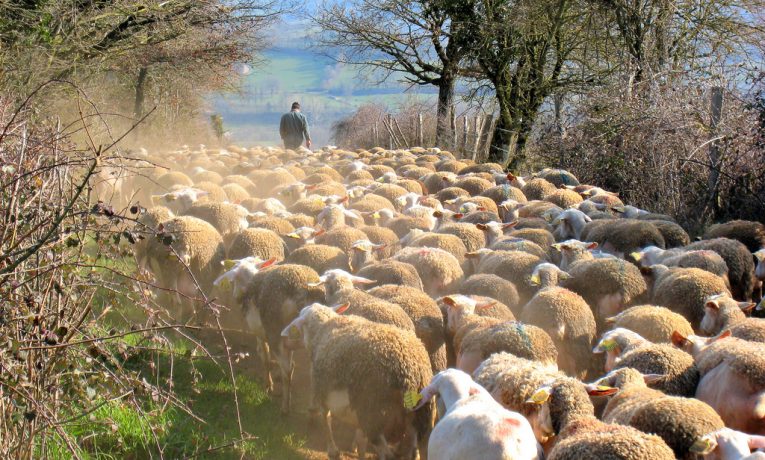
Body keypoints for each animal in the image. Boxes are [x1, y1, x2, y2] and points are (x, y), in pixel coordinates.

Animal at [282, 304, 436, 458]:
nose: (286, 341)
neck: (323, 327)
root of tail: (409, 372)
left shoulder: (322, 390)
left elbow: (326, 418)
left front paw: (332, 450)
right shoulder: (355, 407)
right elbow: (360, 439)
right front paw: (356, 449)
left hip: (374, 414)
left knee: (386, 453)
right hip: (419, 419)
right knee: (414, 452)